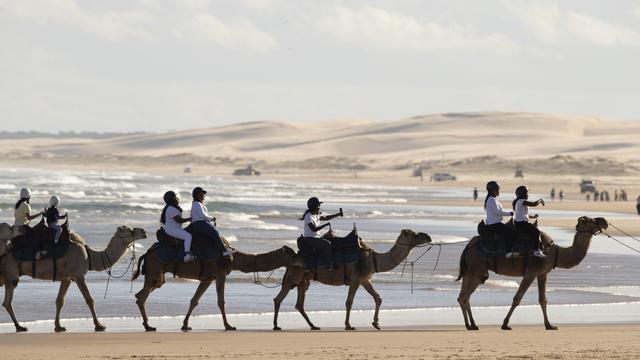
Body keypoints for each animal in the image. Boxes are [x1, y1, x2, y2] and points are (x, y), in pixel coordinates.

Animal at [0, 224, 146, 334]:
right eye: (130, 231)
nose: (144, 232)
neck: (90, 256)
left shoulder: (67, 278)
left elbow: (60, 301)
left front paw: (58, 326)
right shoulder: (79, 275)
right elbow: (90, 300)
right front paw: (99, 325)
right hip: (11, 270)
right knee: (7, 301)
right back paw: (19, 327)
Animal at [132, 242, 298, 332]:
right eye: (291, 254)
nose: (300, 258)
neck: (233, 257)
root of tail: (147, 252)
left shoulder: (208, 278)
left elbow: (194, 300)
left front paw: (185, 325)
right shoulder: (220, 273)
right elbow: (221, 301)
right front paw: (228, 325)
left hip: (157, 274)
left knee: (142, 294)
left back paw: (147, 324)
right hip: (155, 268)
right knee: (142, 296)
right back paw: (148, 325)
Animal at [270, 229, 430, 330]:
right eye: (415, 234)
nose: (428, 236)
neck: (374, 260)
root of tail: (292, 258)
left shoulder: (365, 279)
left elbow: (378, 298)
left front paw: (376, 323)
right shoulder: (356, 279)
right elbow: (349, 302)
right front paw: (348, 325)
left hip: (304, 279)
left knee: (299, 304)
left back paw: (313, 326)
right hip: (294, 276)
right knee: (279, 298)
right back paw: (276, 325)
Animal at [458, 215, 608, 330]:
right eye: (590, 220)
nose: (605, 221)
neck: (555, 252)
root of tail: (468, 246)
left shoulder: (542, 274)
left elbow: (543, 299)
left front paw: (549, 325)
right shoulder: (530, 273)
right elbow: (517, 298)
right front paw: (505, 324)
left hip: (470, 272)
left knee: (463, 297)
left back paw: (471, 325)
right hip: (477, 271)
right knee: (465, 296)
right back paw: (471, 325)